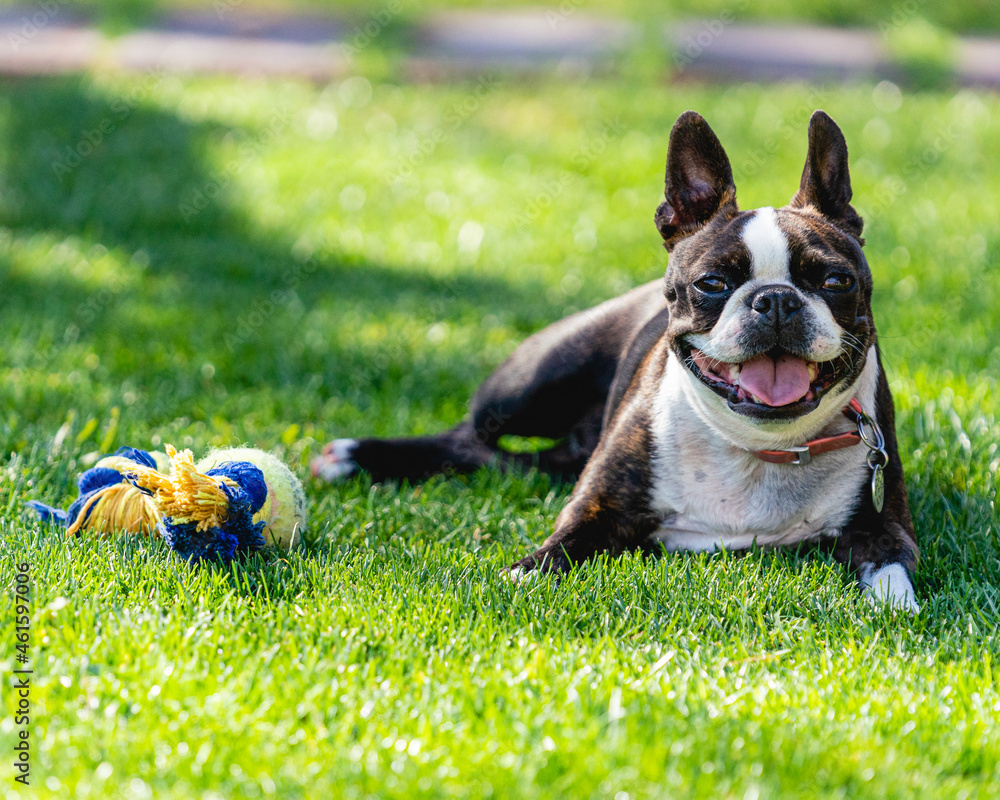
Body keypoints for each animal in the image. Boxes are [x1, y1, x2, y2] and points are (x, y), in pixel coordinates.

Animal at [312, 111, 920, 612]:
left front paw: (897, 610)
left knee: (502, 460)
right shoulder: (597, 509)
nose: (775, 300)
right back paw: (355, 456)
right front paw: (519, 578)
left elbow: (892, 571)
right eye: (712, 283)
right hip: (528, 386)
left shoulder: (886, 527)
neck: (759, 447)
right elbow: (556, 549)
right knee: (467, 438)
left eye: (836, 281)